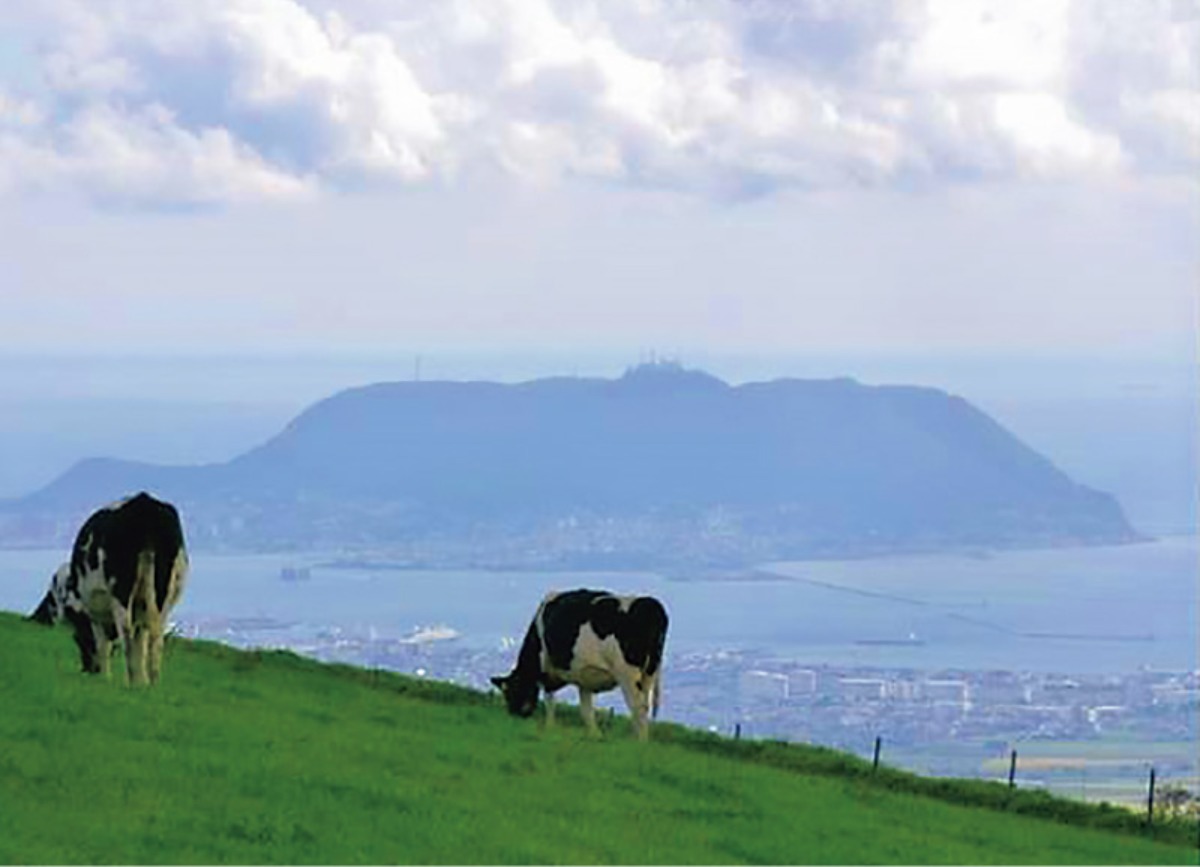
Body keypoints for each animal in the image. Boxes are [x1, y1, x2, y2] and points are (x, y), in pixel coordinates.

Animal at [30, 492, 188, 682]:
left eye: (80, 643)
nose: (88, 670)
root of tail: (144, 502)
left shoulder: (94, 615)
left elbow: (103, 644)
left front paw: (105, 678)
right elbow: (140, 641)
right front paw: (142, 682)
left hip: (121, 591)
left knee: (127, 634)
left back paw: (130, 679)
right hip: (163, 593)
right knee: (155, 637)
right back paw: (153, 682)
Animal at [492, 590, 672, 739]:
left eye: (511, 692)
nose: (514, 715)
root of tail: (652, 606)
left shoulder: (546, 670)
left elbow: (550, 702)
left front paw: (549, 727)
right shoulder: (584, 677)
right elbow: (586, 709)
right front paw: (594, 734)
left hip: (627, 673)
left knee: (637, 706)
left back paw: (638, 741)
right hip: (649, 672)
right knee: (645, 704)